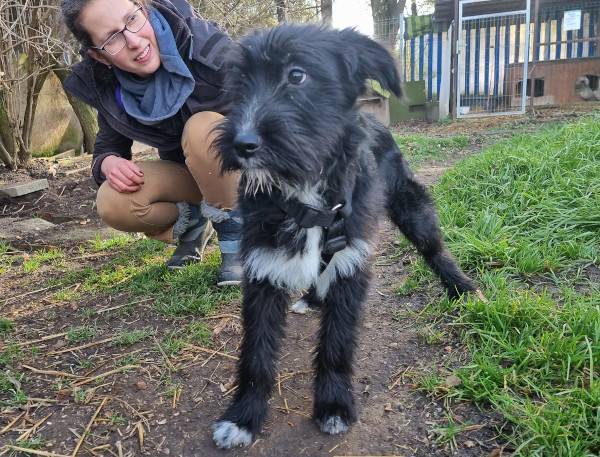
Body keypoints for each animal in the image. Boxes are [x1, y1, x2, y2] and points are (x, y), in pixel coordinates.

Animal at [211, 24, 475, 449]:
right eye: (239, 82)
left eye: (297, 75)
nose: (242, 145)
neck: (304, 189)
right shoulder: (263, 268)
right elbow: (256, 351)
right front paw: (243, 417)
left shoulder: (351, 262)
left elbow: (337, 342)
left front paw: (333, 405)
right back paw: (312, 298)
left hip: (410, 206)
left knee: (434, 248)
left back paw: (461, 286)